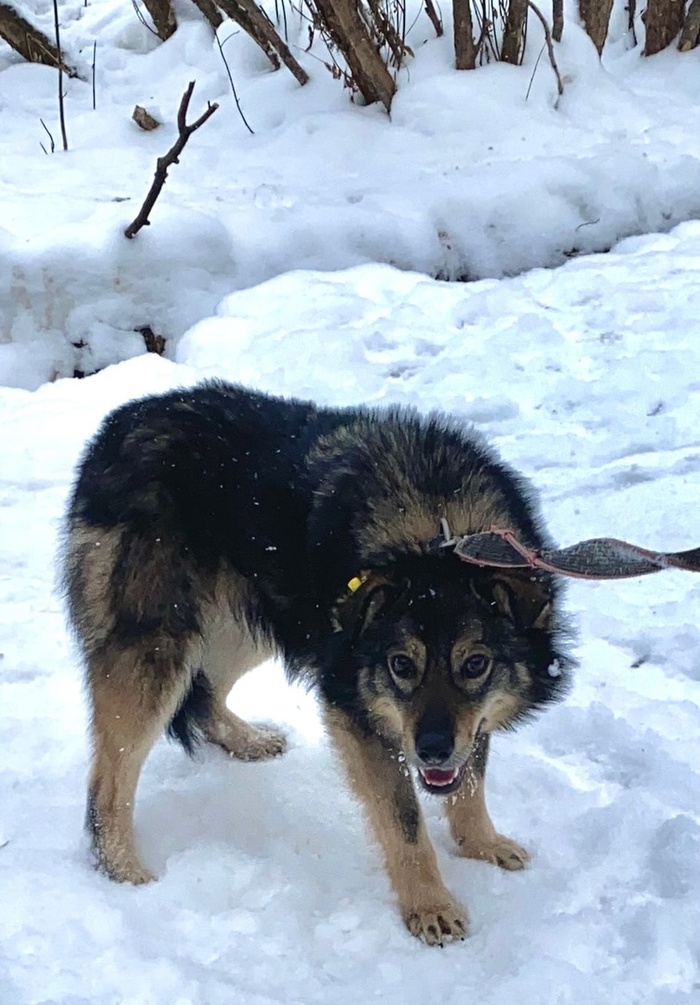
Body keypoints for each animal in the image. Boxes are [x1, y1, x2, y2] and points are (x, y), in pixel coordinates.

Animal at [62, 381, 573, 945]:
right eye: (401, 665)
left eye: (476, 664)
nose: (431, 751)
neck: (435, 536)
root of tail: (120, 423)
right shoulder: (357, 710)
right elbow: (405, 822)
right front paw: (430, 906)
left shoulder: (469, 721)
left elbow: (471, 782)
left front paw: (481, 844)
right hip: (157, 652)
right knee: (107, 781)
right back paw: (123, 870)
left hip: (247, 620)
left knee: (208, 693)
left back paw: (245, 739)